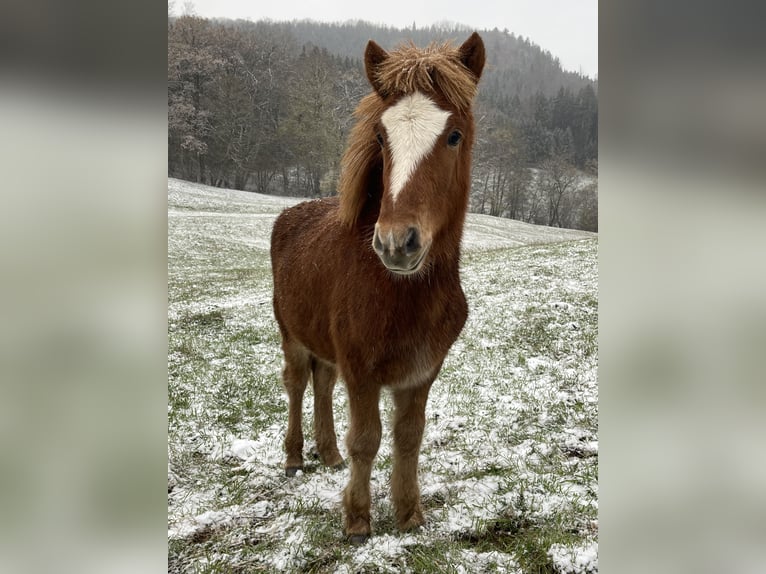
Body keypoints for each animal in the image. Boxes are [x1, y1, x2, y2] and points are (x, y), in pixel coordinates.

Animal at [272, 32, 486, 544]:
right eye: (381, 137)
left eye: (453, 136)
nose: (395, 243)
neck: (399, 292)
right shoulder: (362, 371)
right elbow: (366, 440)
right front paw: (357, 521)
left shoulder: (422, 372)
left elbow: (408, 438)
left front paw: (409, 516)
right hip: (292, 337)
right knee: (297, 384)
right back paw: (294, 457)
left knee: (322, 384)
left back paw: (327, 454)